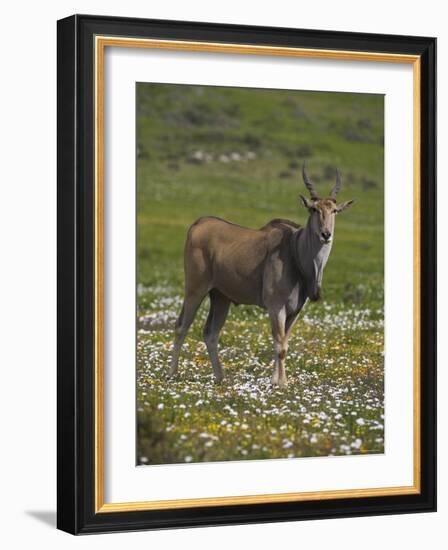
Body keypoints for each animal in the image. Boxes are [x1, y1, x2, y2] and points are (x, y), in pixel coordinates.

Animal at [168, 165, 354, 388]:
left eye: (334, 210)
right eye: (314, 209)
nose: (326, 234)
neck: (294, 250)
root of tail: (197, 224)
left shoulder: (294, 311)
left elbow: (284, 343)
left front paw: (280, 381)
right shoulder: (276, 307)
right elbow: (280, 346)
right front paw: (279, 382)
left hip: (221, 297)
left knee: (210, 333)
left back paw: (220, 377)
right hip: (195, 289)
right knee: (181, 326)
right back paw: (171, 374)